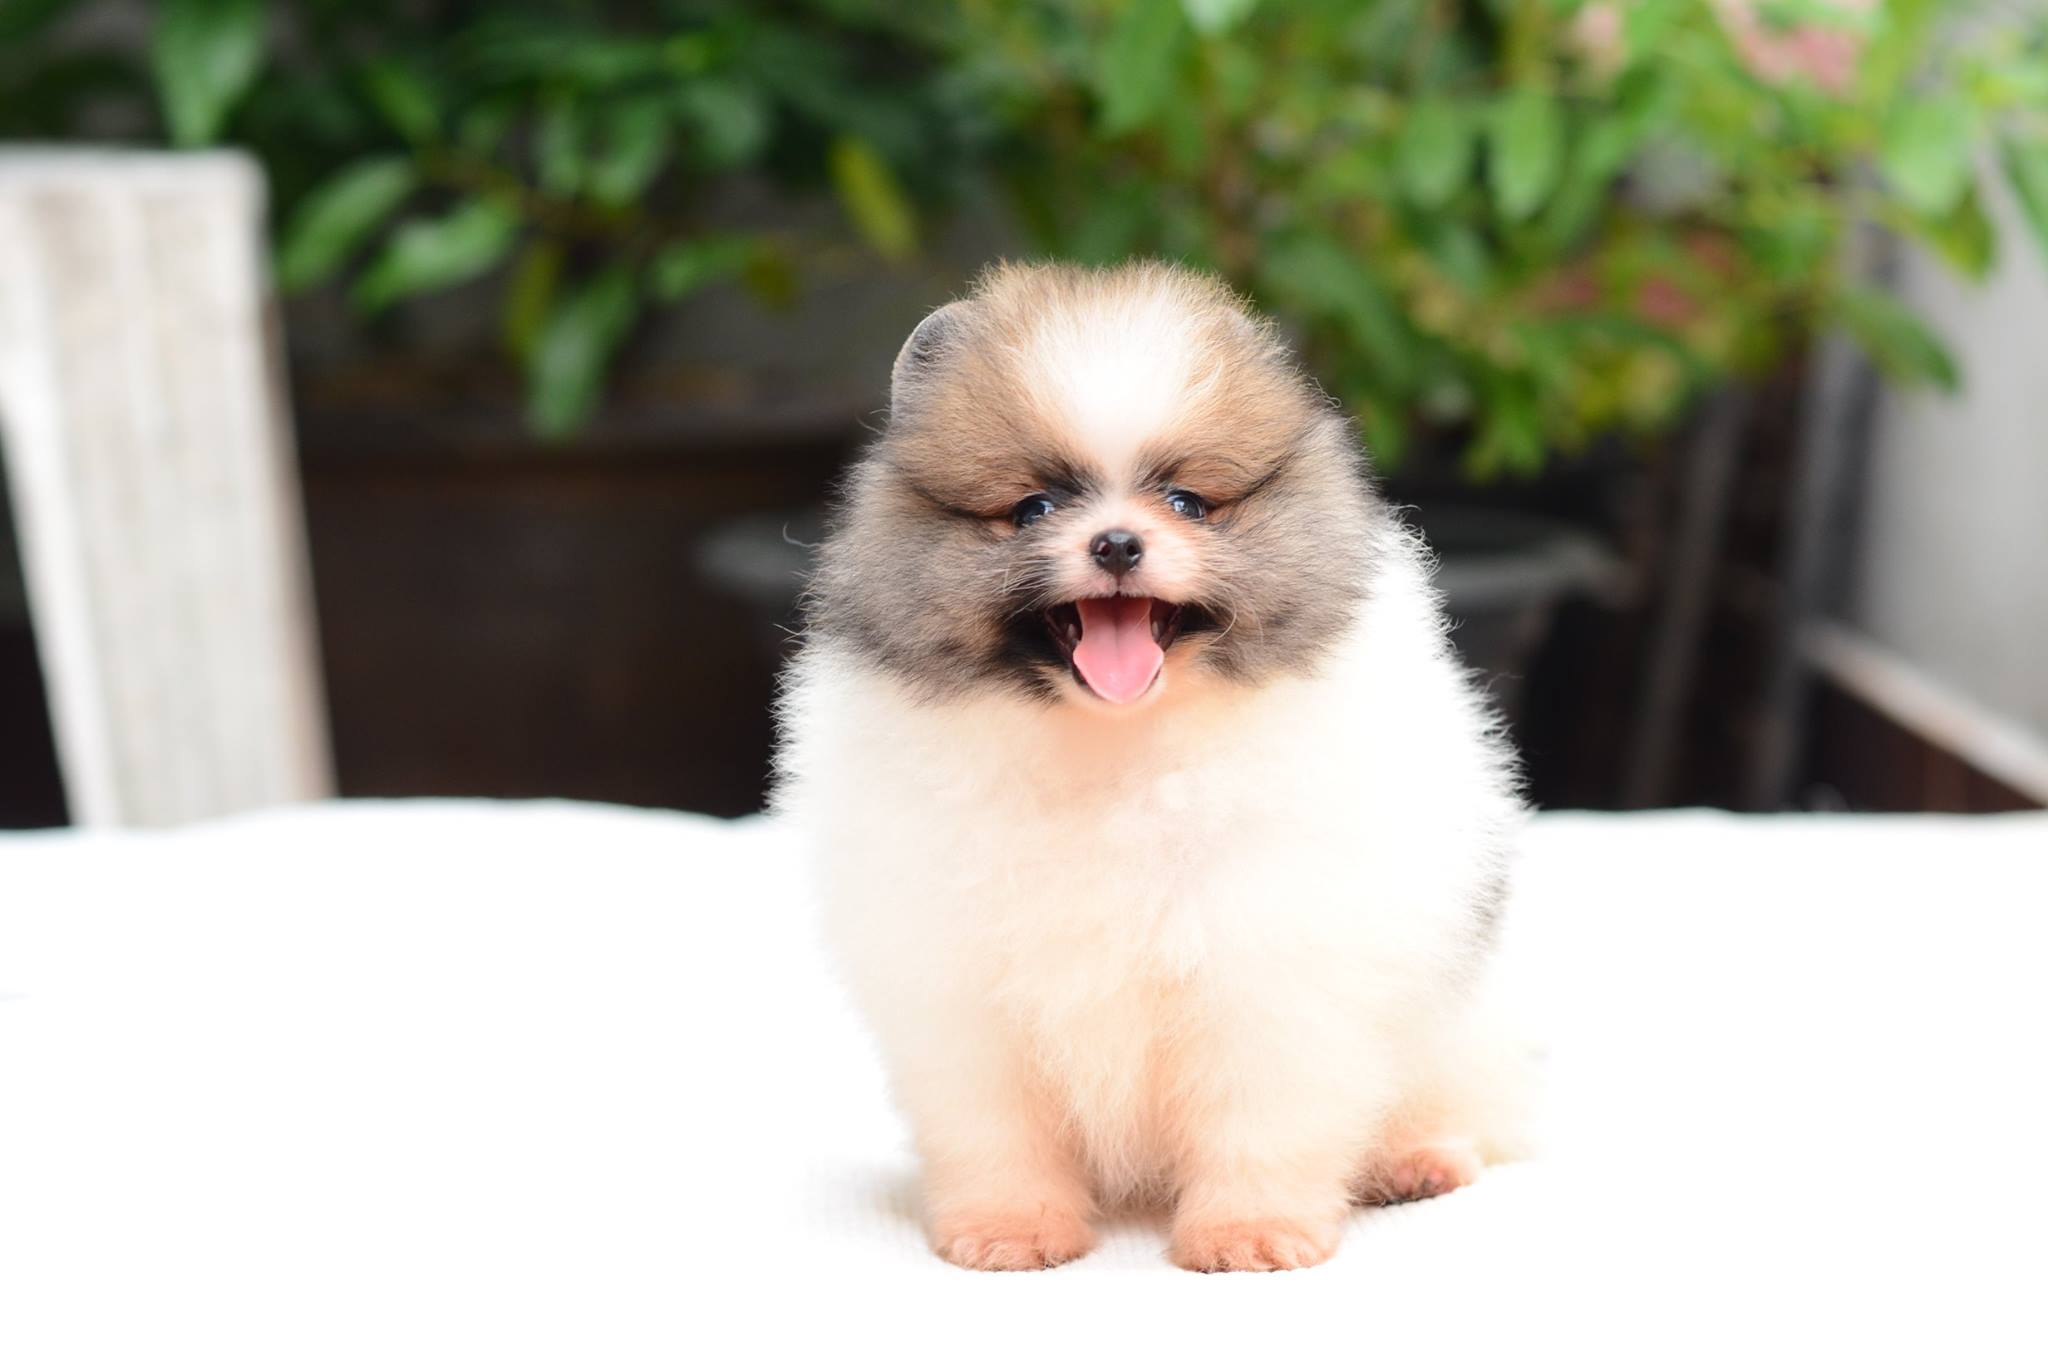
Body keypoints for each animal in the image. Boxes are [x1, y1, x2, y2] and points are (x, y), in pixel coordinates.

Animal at [775, 261, 1529, 1271]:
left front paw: (1250, 1233)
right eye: (1035, 509)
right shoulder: (966, 992)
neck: (1118, 741)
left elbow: (1264, 1117)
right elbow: (998, 1129)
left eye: (1186, 503)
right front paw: (1011, 1230)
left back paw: (1413, 1161)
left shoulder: (1272, 963)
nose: (1117, 543)